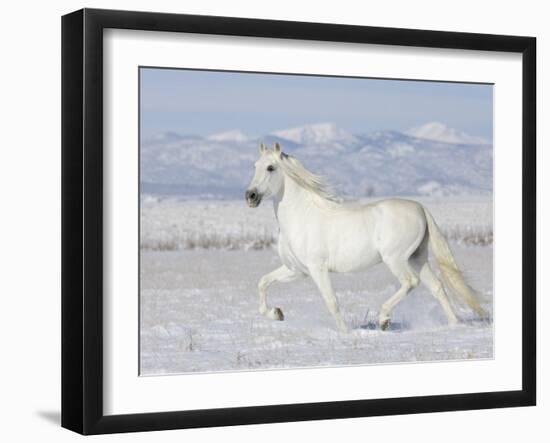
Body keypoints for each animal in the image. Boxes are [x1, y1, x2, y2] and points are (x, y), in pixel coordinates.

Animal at [247, 143, 488, 332]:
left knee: (410, 282)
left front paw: (345, 334)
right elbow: (263, 282)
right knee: (437, 287)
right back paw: (454, 325)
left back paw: (384, 319)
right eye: (255, 166)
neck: (302, 216)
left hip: (395, 259)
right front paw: (276, 313)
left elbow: (331, 301)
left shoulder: (317, 269)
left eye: (270, 167)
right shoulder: (297, 270)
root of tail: (420, 208)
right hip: (417, 258)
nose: (250, 196)